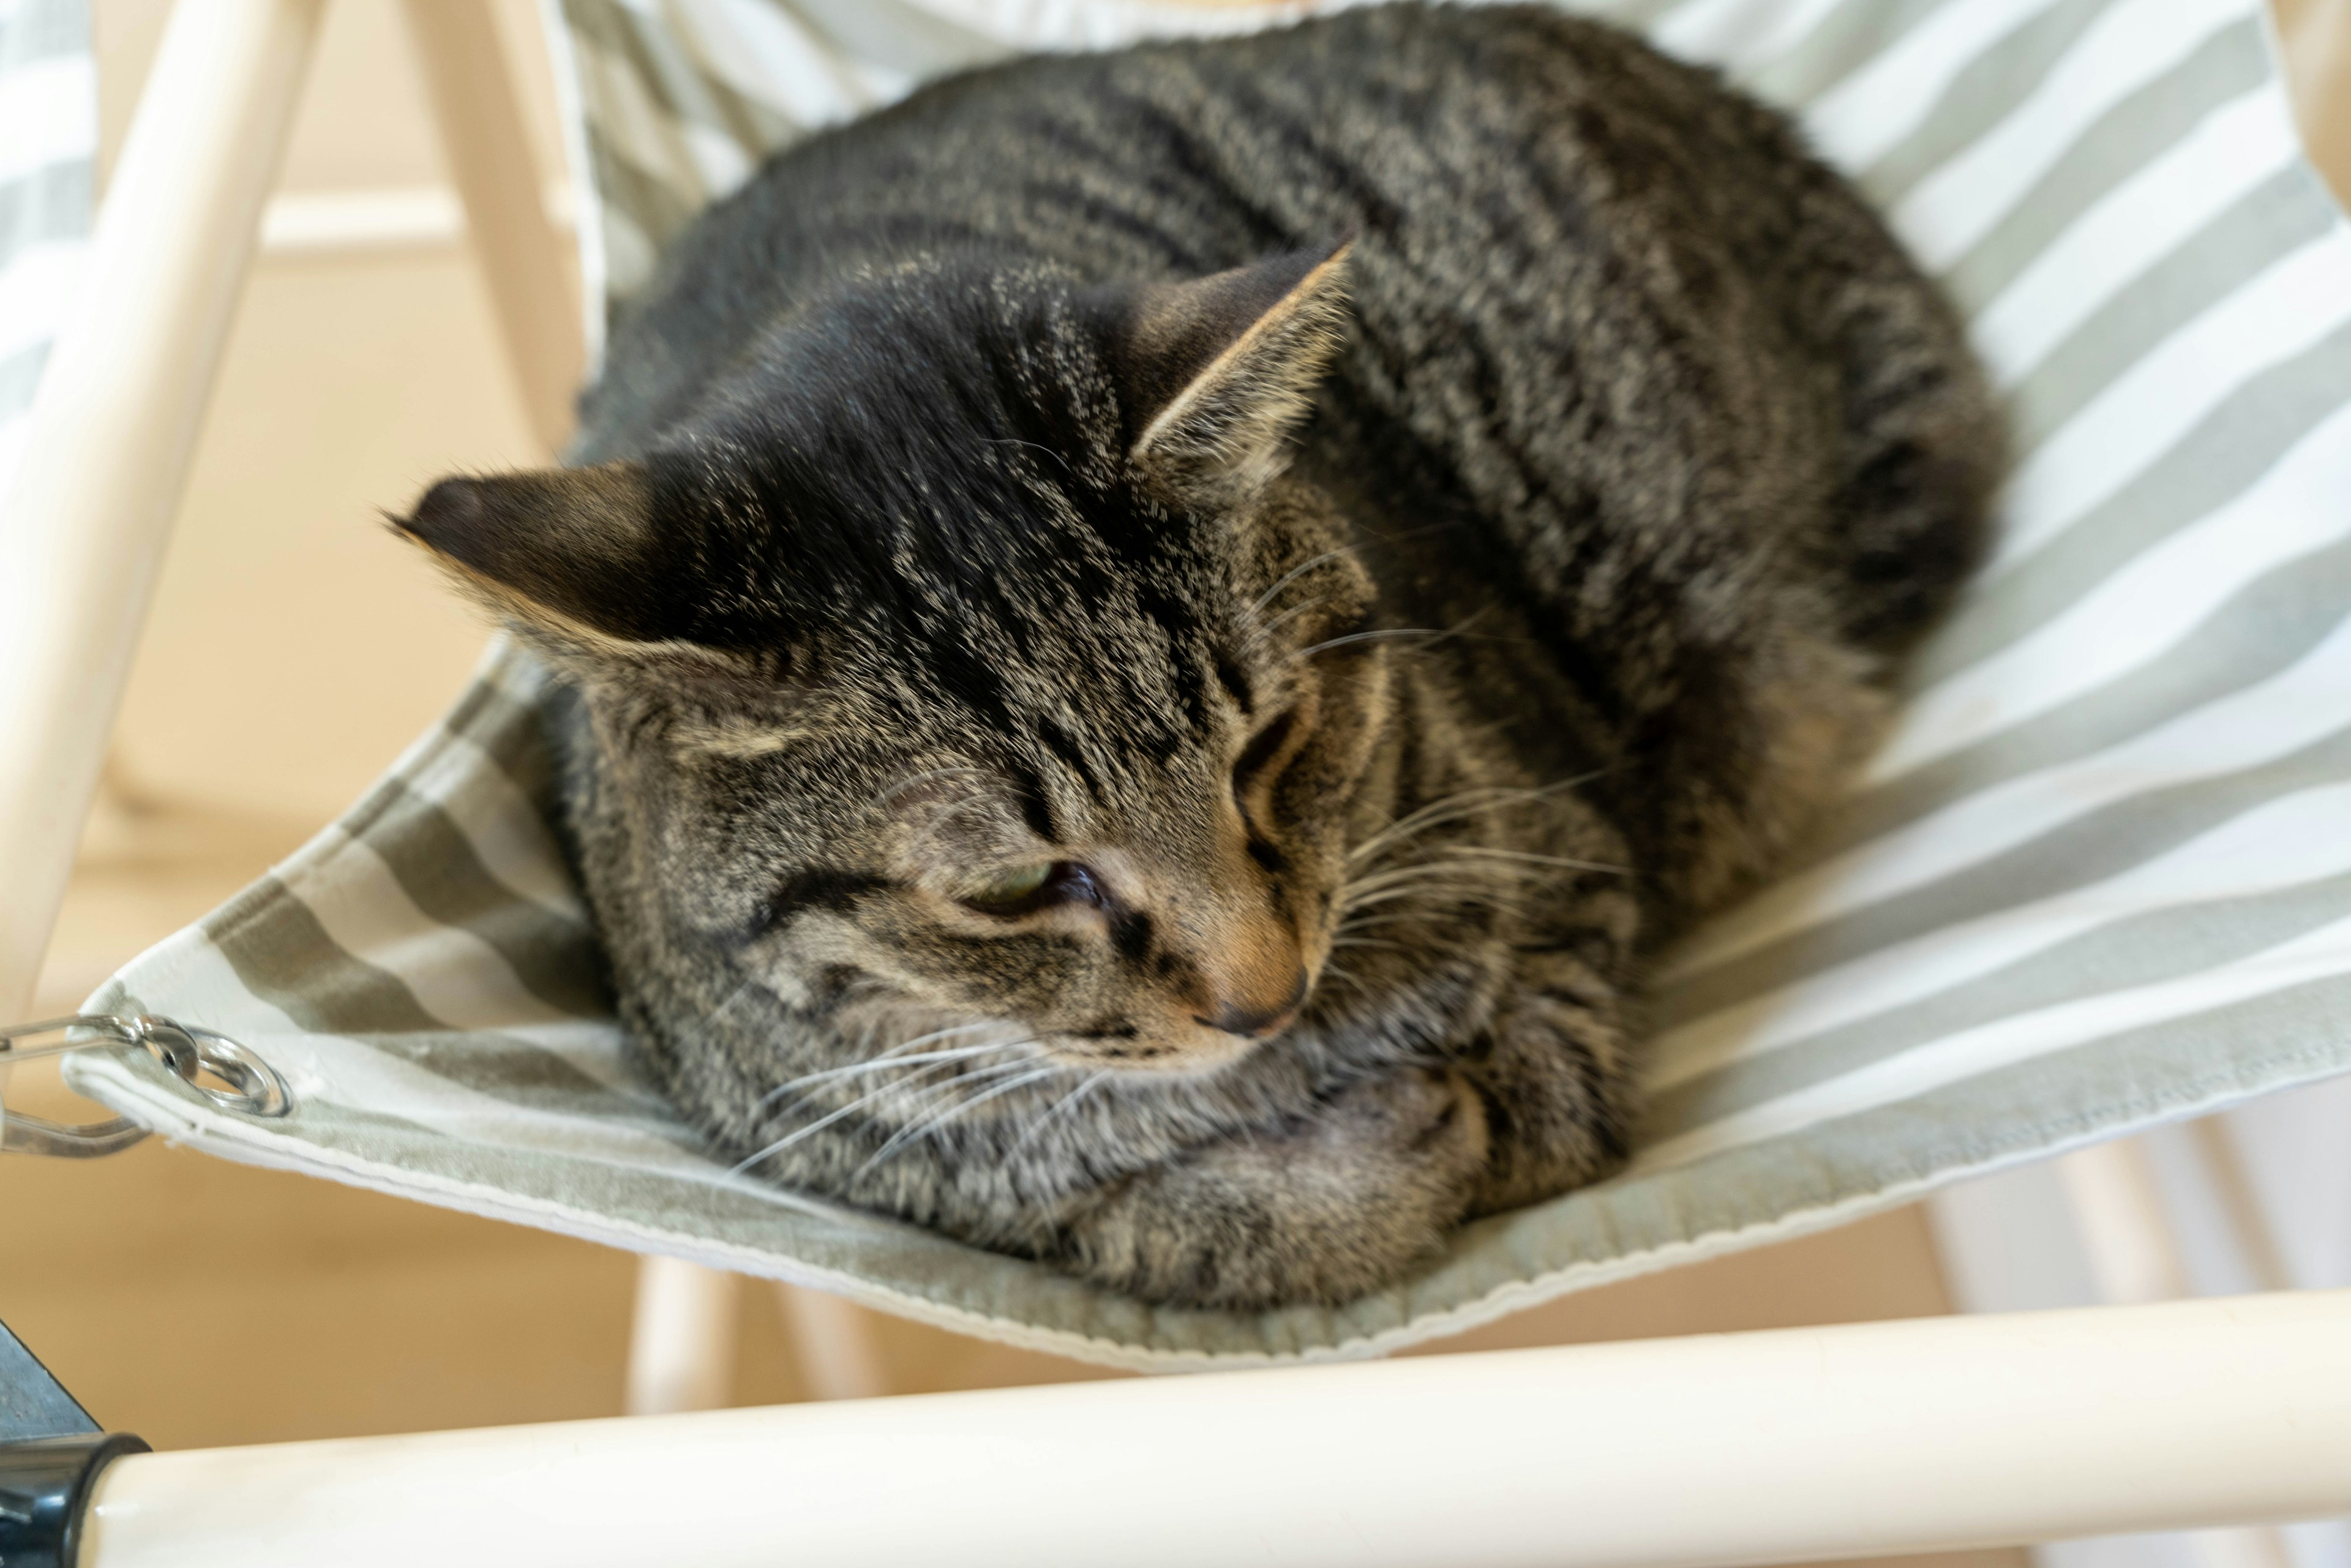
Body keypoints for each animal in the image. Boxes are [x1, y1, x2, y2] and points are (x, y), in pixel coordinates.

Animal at [395, 3, 1993, 1316]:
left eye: (1269, 747)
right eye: (1016, 888)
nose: (1261, 996)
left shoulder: (1566, 871)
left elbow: (1530, 1078)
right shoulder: (884, 1162)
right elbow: (1190, 1222)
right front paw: (1366, 1144)